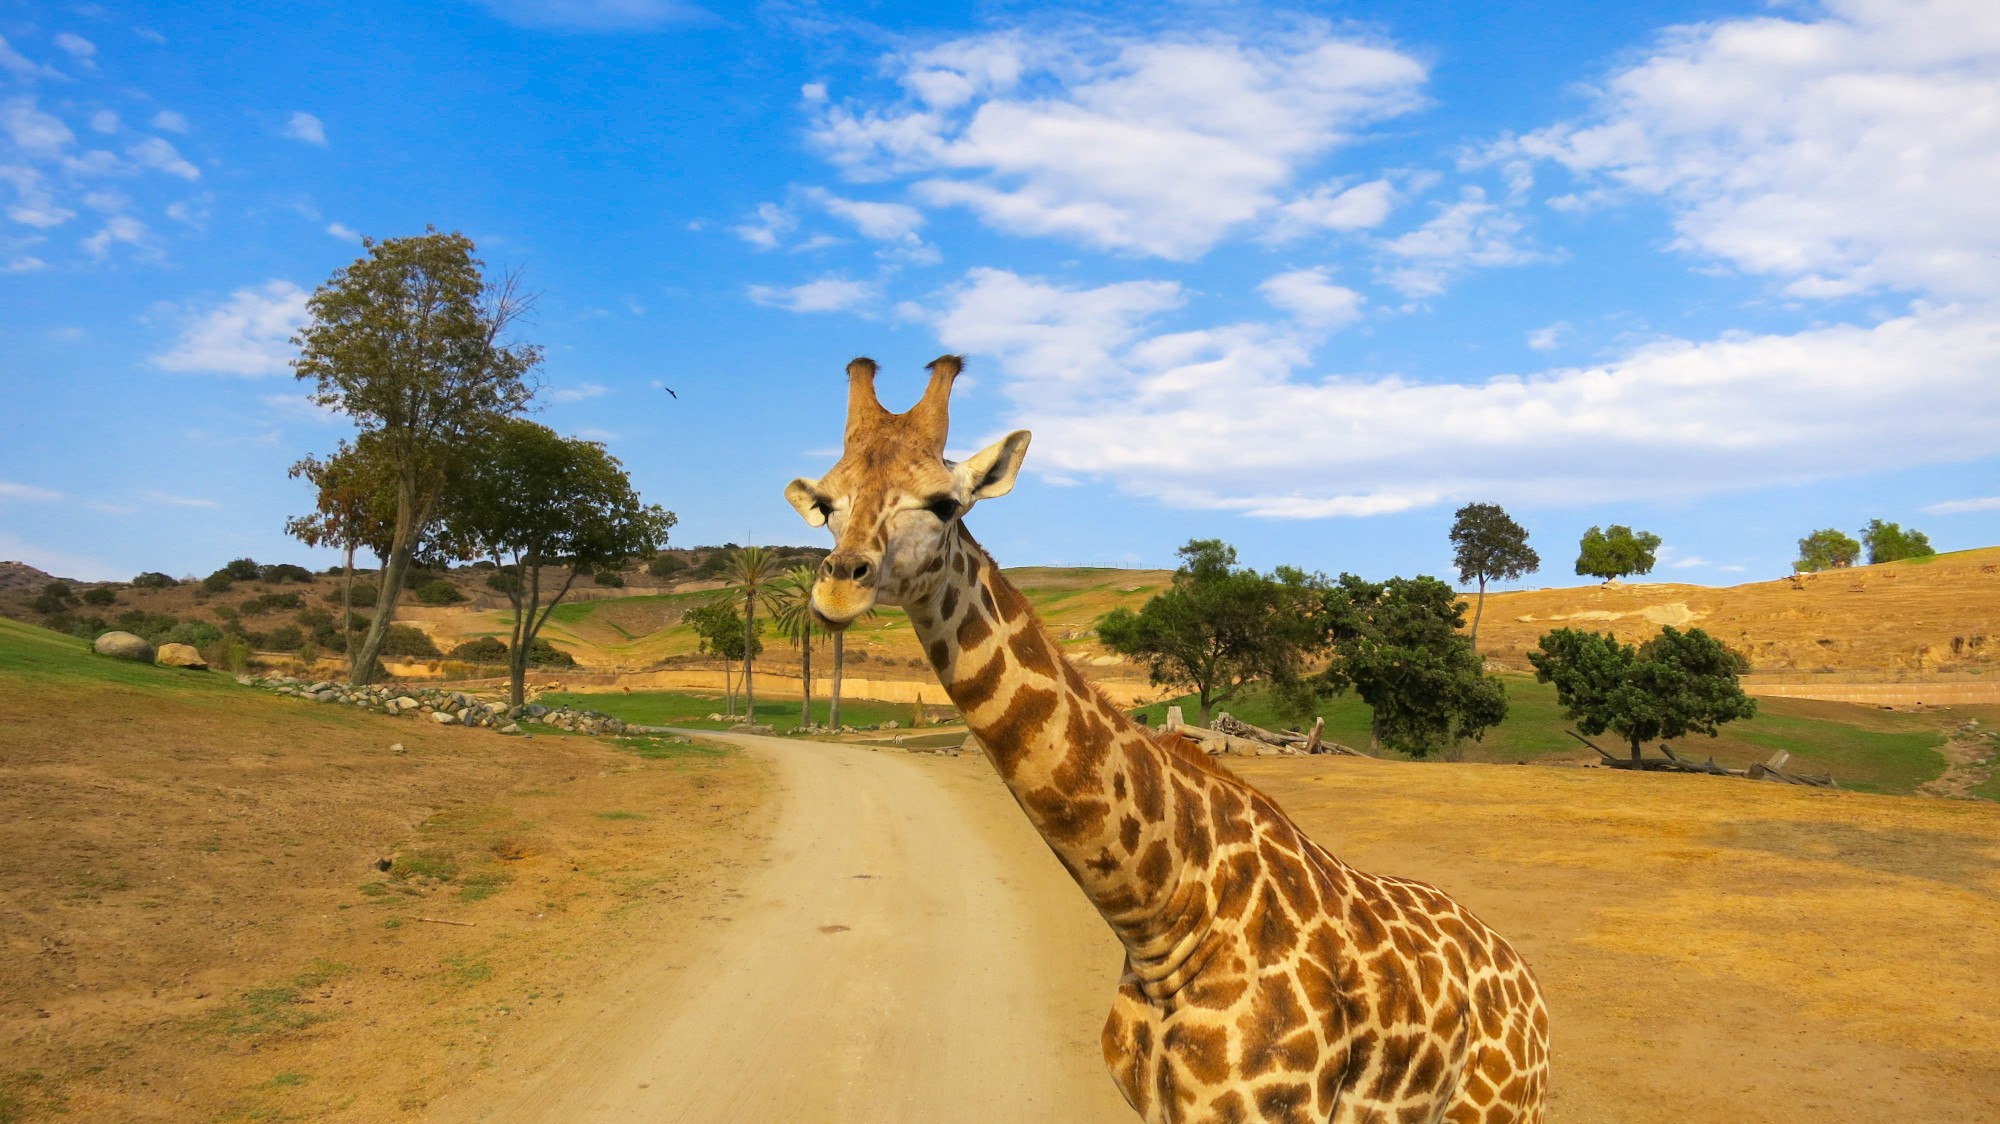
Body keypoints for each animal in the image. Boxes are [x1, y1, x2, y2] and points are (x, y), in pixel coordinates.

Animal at [785, 356, 1549, 1124]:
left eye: (945, 504)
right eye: (825, 503)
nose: (840, 588)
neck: (1164, 922)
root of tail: (1531, 989)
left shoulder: (1272, 1110)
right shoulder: (1155, 1104)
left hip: (1501, 1110)